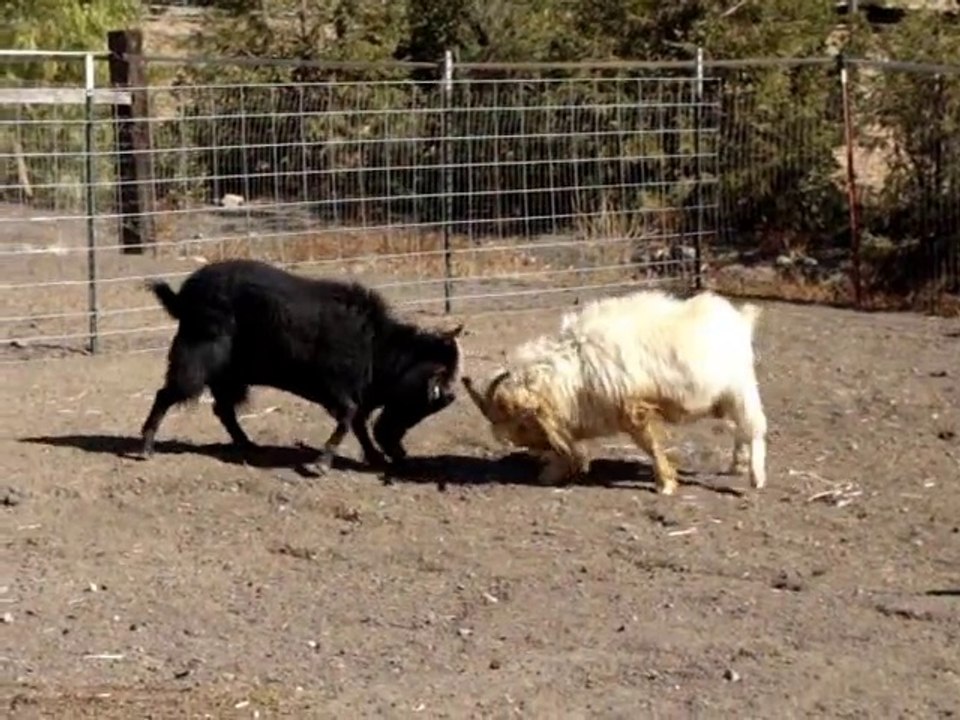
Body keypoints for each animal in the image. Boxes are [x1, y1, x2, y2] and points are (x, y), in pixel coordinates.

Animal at [140, 259, 463, 470]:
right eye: (424, 400)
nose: (400, 452)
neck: (374, 344)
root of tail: (183, 298)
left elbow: (357, 422)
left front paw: (373, 457)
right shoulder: (337, 389)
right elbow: (349, 417)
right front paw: (320, 463)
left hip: (228, 378)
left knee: (223, 410)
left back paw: (248, 445)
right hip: (196, 365)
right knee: (166, 395)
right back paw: (146, 447)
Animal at [461, 289, 767, 495]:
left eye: (522, 425)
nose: (536, 455)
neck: (575, 368)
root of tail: (740, 319)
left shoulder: (633, 408)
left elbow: (650, 445)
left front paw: (666, 484)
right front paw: (553, 473)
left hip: (740, 387)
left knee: (754, 426)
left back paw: (756, 476)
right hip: (720, 398)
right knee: (739, 427)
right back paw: (737, 464)